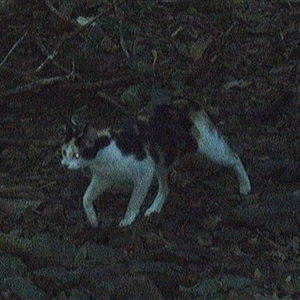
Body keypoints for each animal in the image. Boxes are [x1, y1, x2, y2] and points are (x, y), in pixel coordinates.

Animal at [61, 99, 251, 226]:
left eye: (76, 155)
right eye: (64, 153)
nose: (65, 165)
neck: (103, 156)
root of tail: (189, 102)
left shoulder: (144, 173)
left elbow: (134, 202)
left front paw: (127, 221)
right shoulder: (103, 178)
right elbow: (85, 198)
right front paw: (93, 219)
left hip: (211, 146)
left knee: (235, 158)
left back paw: (245, 186)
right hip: (162, 161)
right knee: (165, 188)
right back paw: (154, 210)